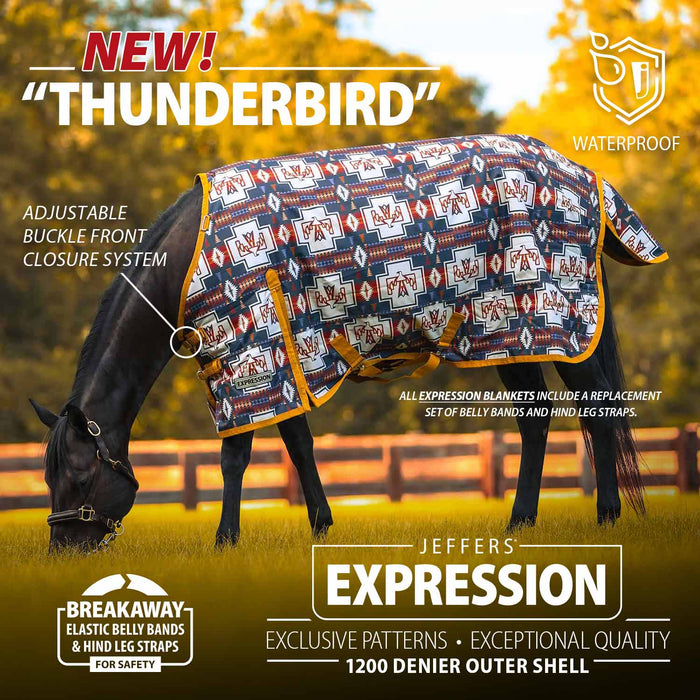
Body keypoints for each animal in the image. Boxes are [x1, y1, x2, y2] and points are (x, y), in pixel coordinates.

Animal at [30, 134, 666, 552]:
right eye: (48, 476)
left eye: (80, 477)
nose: (65, 549)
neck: (197, 252)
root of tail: (579, 173)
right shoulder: (281, 358)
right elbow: (299, 445)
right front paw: (320, 524)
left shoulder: (249, 356)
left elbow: (236, 456)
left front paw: (225, 539)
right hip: (508, 332)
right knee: (536, 420)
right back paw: (519, 523)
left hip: (558, 322)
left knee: (599, 412)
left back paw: (607, 516)